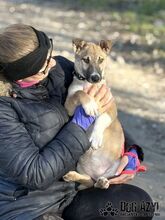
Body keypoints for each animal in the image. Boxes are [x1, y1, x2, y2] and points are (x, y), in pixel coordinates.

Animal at [62, 39, 124, 189]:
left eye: (101, 60)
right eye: (86, 60)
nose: (95, 78)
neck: (89, 84)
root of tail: (96, 173)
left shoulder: (111, 108)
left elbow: (101, 120)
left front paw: (96, 137)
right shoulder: (69, 104)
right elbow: (80, 93)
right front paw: (90, 104)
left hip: (118, 163)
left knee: (102, 181)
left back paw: (103, 182)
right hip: (79, 163)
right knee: (89, 181)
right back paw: (72, 176)